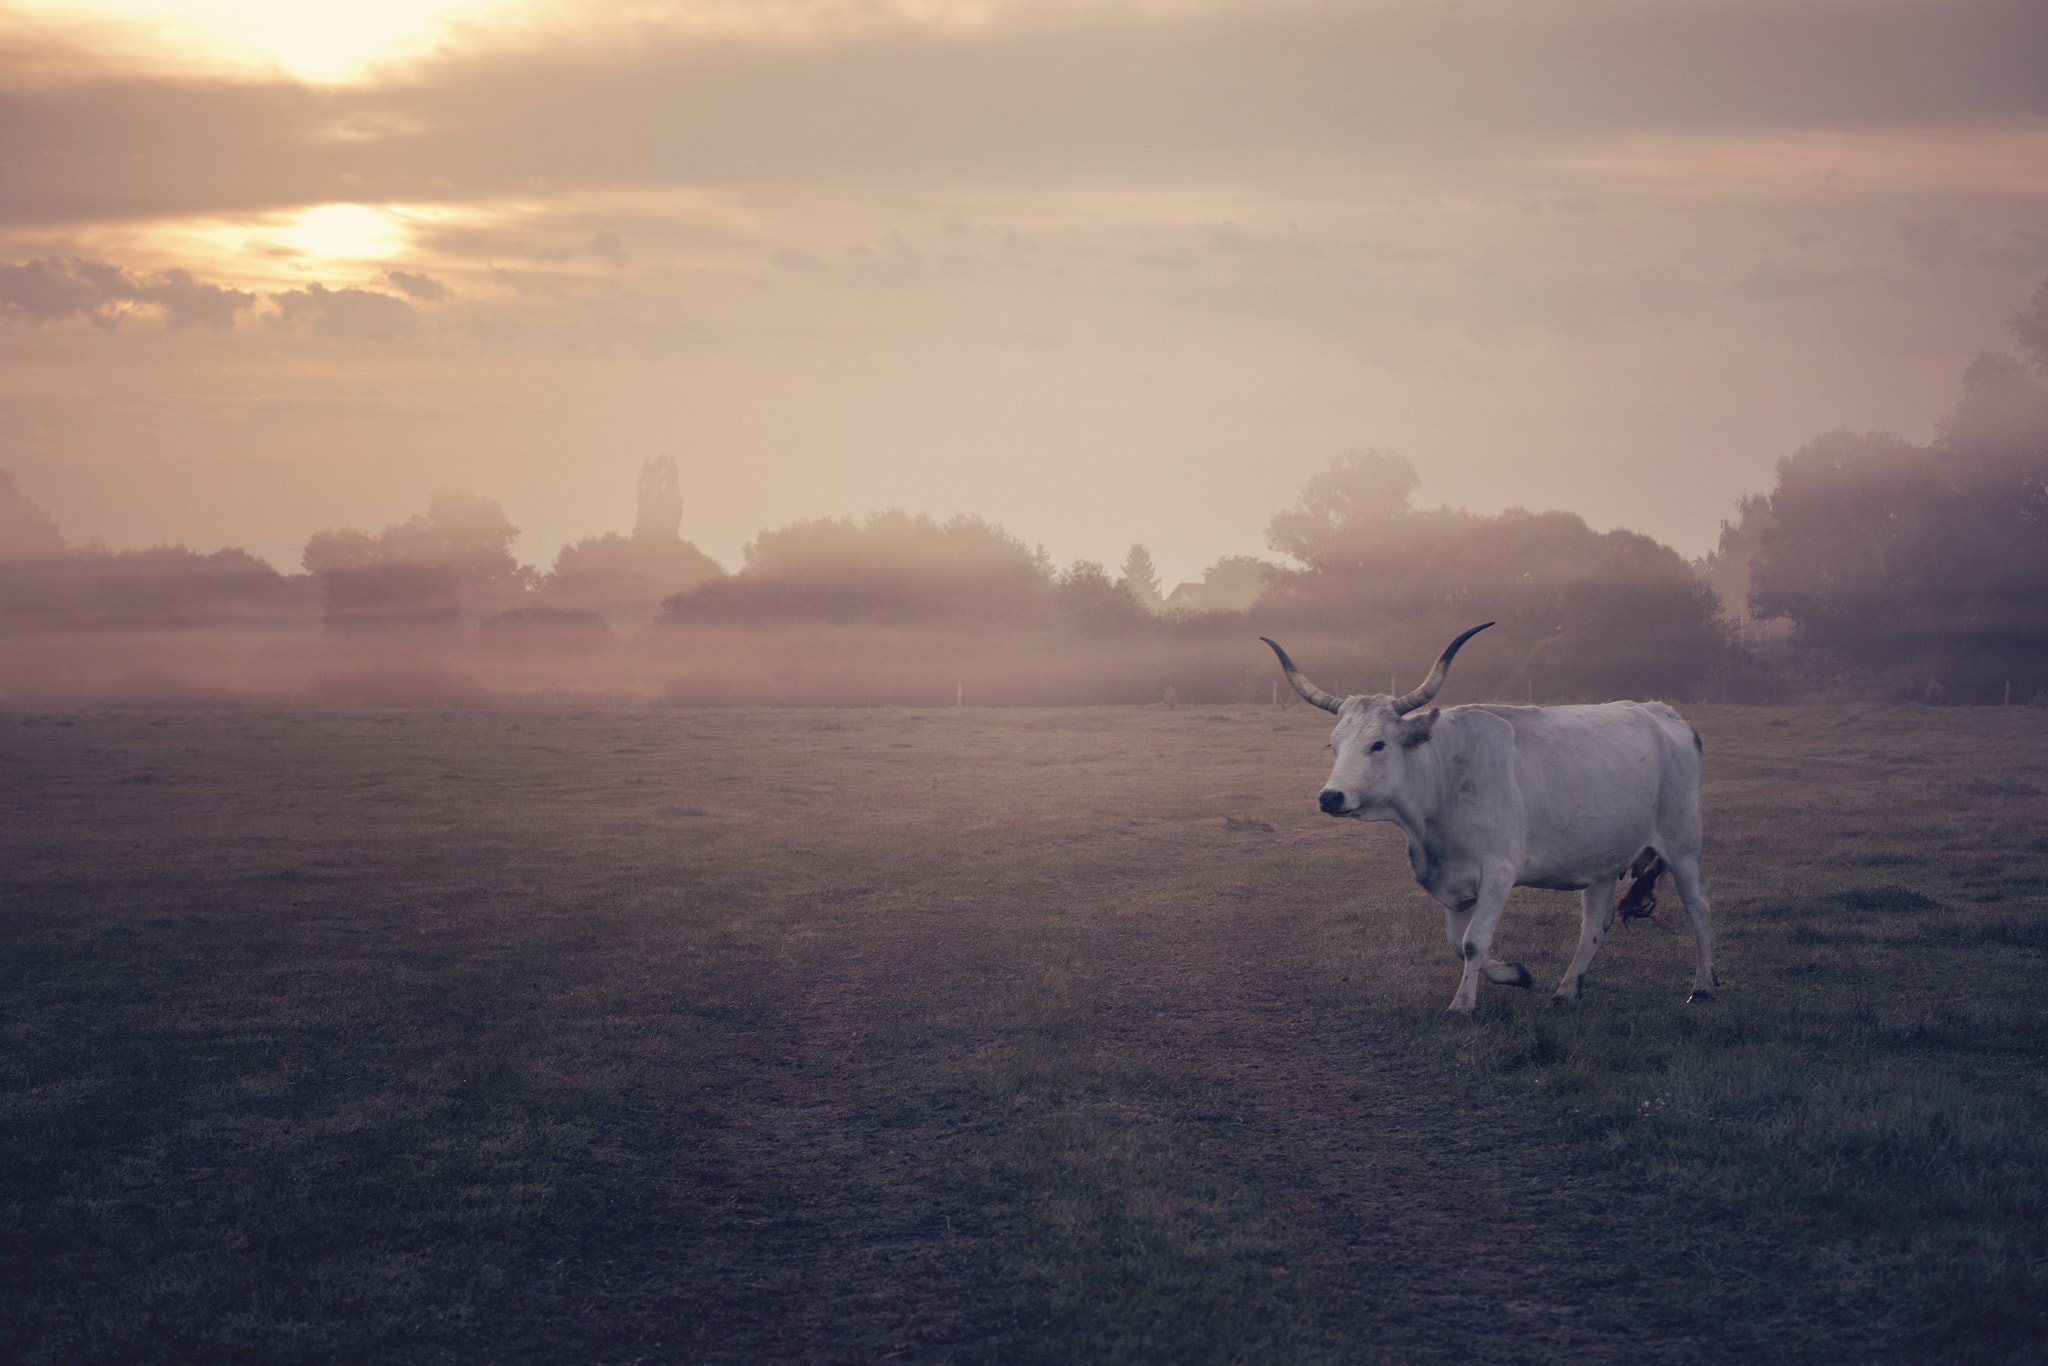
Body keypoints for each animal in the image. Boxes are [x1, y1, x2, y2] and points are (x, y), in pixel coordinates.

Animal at [1262, 624, 1715, 1013]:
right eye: (1334, 744)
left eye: (1378, 744)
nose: (1331, 797)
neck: (1442, 782)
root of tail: (1661, 712)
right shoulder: (1451, 881)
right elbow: (1455, 942)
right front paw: (1516, 975)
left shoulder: (1498, 872)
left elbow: (1474, 942)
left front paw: (1462, 1005)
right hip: (1604, 855)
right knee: (1596, 923)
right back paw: (1567, 991)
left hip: (1682, 844)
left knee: (1699, 907)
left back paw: (1703, 988)